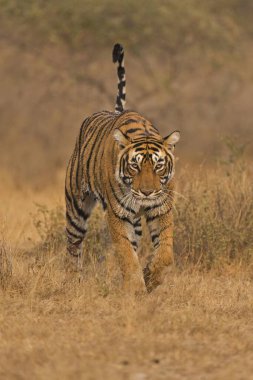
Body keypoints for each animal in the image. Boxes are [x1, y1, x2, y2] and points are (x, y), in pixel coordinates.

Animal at [65, 43, 180, 294]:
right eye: (134, 166)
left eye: (158, 166)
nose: (146, 192)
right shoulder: (118, 216)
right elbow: (126, 254)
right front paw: (136, 288)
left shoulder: (161, 210)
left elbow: (166, 254)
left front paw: (151, 277)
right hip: (76, 206)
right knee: (73, 244)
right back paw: (72, 282)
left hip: (135, 222)